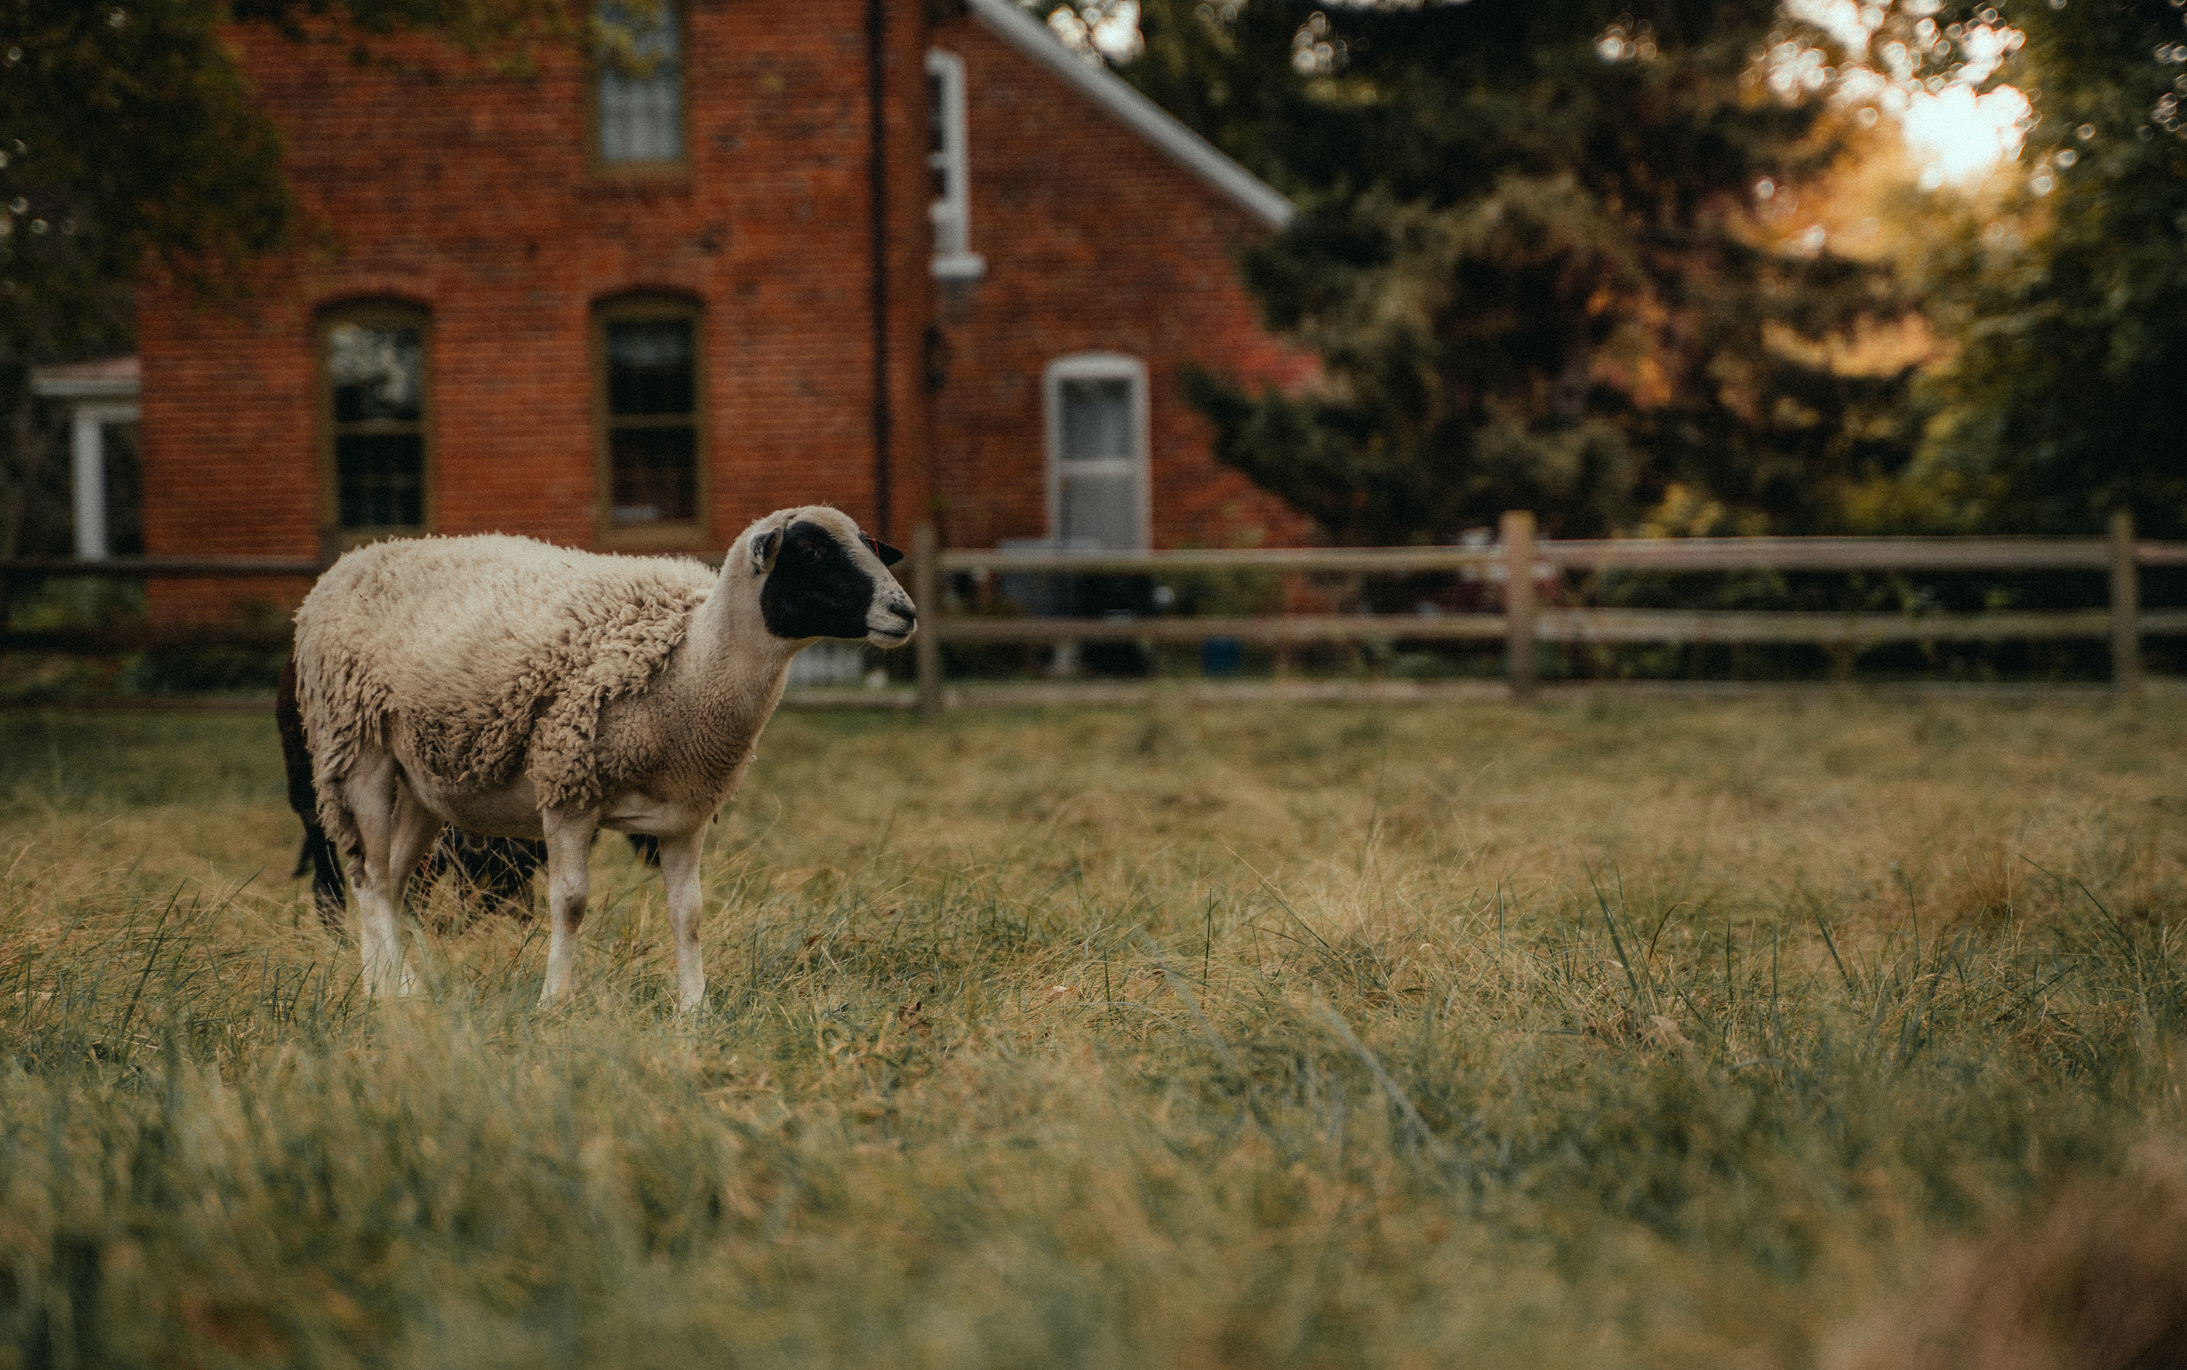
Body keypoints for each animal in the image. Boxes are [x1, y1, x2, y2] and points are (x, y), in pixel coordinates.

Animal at [288, 507, 914, 1006]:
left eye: (869, 543)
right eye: (812, 551)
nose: (905, 611)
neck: (692, 662)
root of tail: (349, 562)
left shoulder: (683, 816)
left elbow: (688, 914)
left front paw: (695, 1009)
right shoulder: (568, 789)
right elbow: (570, 903)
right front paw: (553, 1003)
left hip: (424, 784)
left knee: (389, 882)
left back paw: (381, 986)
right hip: (354, 753)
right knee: (367, 880)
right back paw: (399, 989)